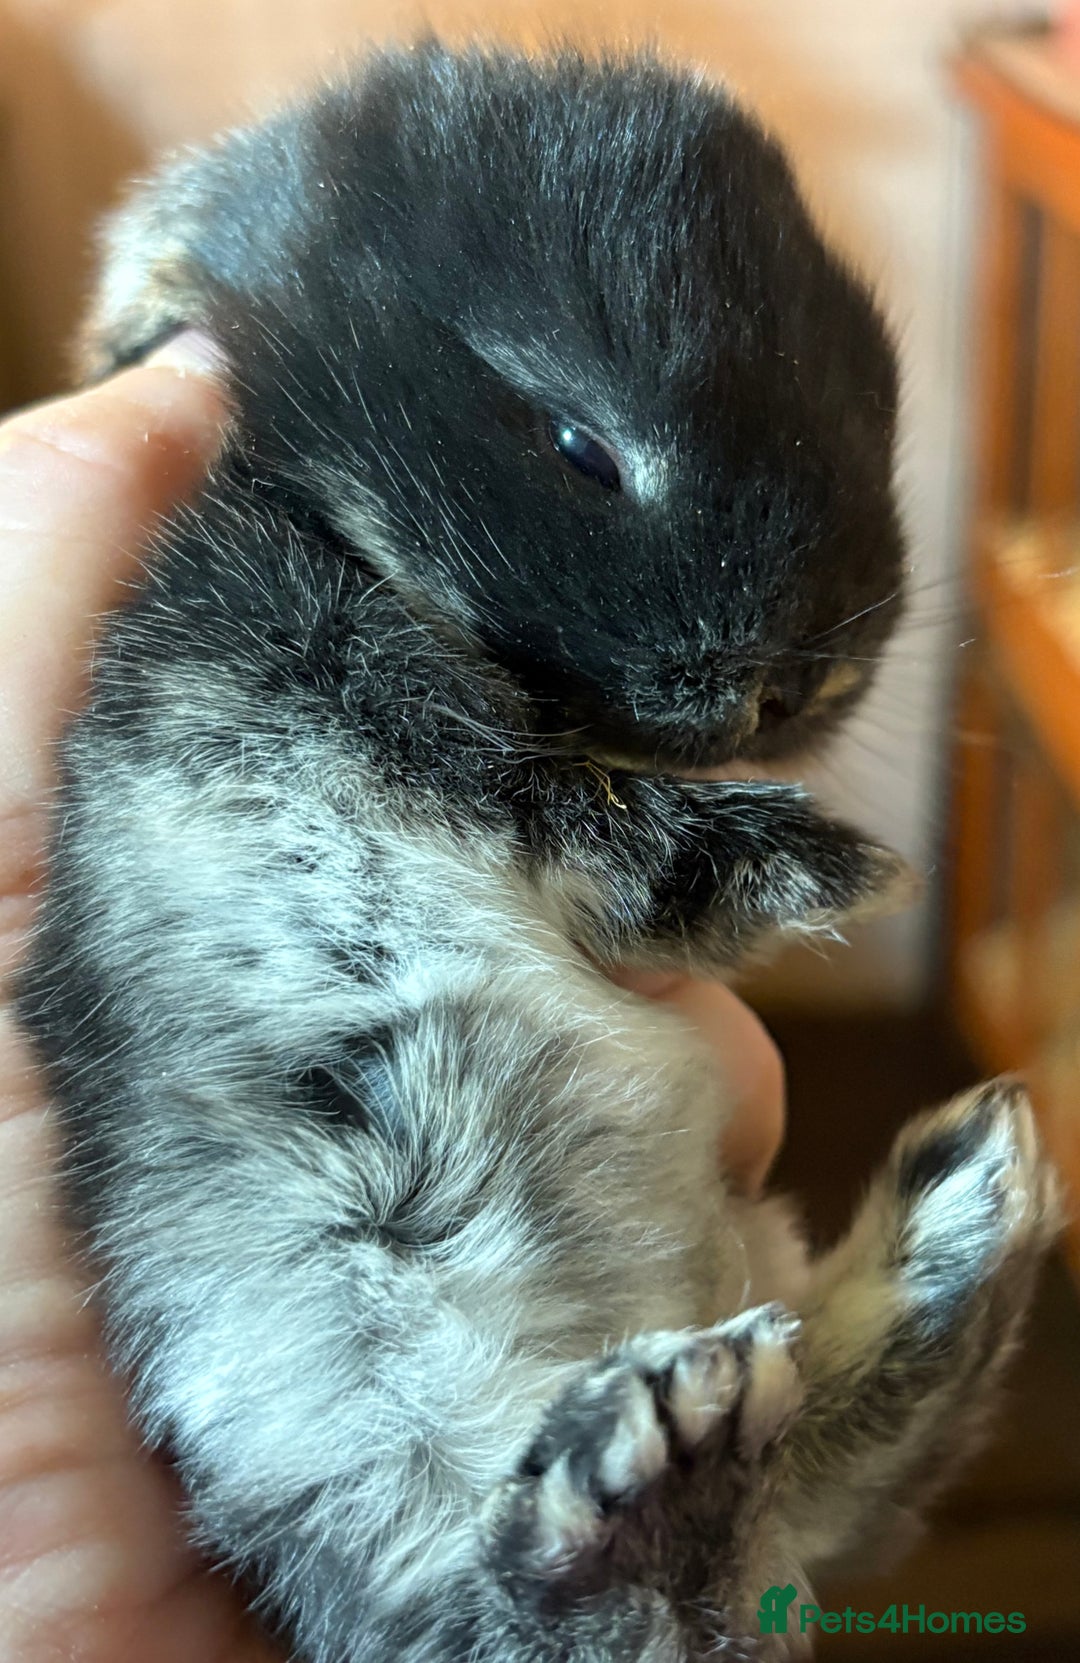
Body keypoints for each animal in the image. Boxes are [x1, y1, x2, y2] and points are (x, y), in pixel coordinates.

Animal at [17, 39, 1056, 1663]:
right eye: (581, 447)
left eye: (879, 416)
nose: (799, 682)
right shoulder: (388, 704)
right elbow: (576, 815)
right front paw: (819, 862)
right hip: (350, 1373)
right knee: (540, 1589)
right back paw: (668, 1464)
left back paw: (962, 1222)